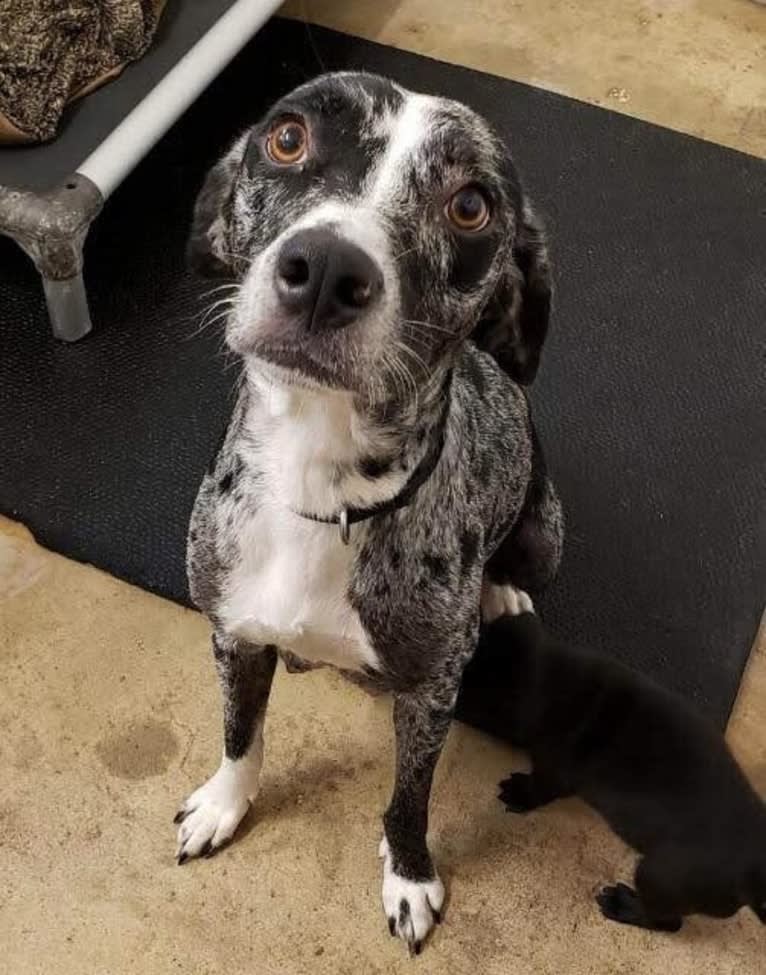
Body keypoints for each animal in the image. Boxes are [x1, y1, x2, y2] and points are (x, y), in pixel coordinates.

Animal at [178, 74, 564, 952]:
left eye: (471, 205)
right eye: (287, 137)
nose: (324, 268)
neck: (322, 492)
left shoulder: (429, 694)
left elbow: (409, 799)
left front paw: (410, 875)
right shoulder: (230, 633)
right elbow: (239, 733)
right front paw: (224, 803)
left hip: (548, 525)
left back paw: (502, 589)